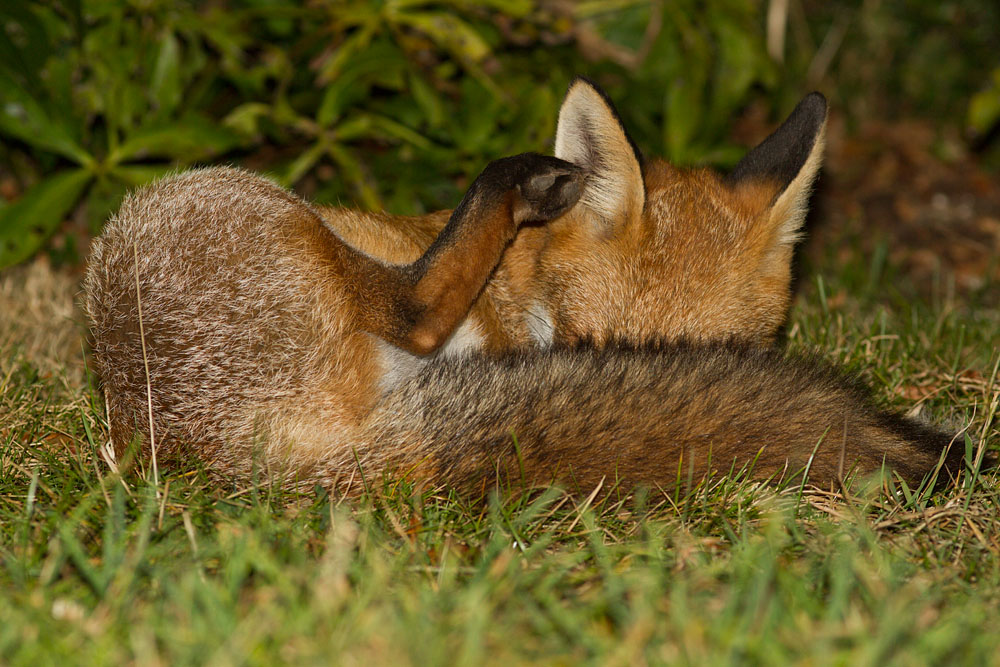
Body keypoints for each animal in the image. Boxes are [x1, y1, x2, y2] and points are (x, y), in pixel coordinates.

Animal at [84, 78, 964, 494]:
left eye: (719, 355)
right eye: (590, 344)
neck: (518, 298)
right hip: (230, 198)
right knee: (416, 308)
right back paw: (517, 180)